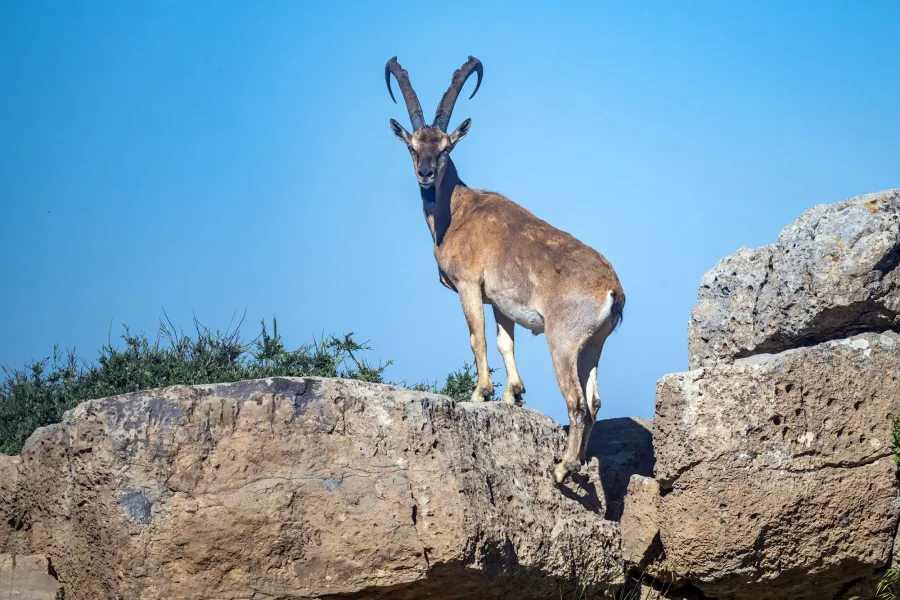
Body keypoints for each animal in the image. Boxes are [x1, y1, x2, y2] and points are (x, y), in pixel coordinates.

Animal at [385, 56, 625, 484]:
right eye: (413, 147)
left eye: (445, 148)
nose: (425, 174)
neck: (456, 212)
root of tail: (612, 290)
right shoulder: (500, 301)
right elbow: (504, 342)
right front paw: (514, 393)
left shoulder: (469, 285)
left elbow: (476, 339)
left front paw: (481, 392)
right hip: (593, 345)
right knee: (595, 400)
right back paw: (581, 462)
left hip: (563, 342)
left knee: (577, 403)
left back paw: (563, 468)